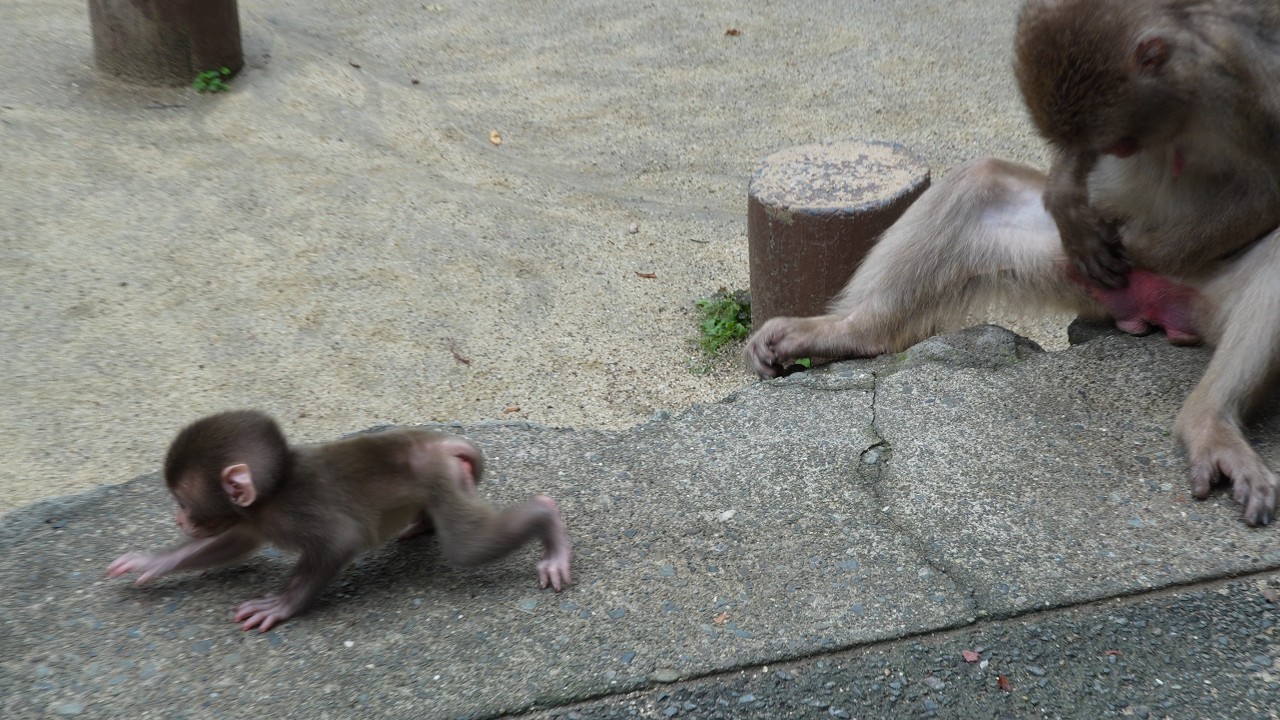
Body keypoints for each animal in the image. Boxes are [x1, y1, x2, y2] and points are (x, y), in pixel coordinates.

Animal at [107, 411, 572, 631]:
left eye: (184, 503)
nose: (178, 519)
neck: (272, 492)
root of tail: (435, 442)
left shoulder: (297, 513)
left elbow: (338, 542)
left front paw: (282, 604)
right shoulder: (256, 519)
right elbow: (235, 542)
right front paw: (153, 562)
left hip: (437, 474)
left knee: (469, 546)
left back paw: (548, 522)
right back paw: (421, 523)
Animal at [745, 0, 1280, 526]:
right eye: (1117, 140)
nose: (1118, 148)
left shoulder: (1248, 68)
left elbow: (1266, 188)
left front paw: (1145, 246)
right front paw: (1068, 197)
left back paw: (1207, 421)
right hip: (1067, 270)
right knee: (980, 181)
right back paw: (851, 331)